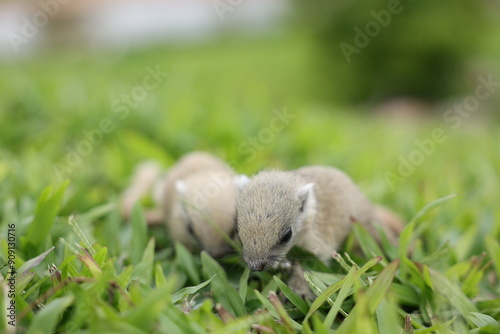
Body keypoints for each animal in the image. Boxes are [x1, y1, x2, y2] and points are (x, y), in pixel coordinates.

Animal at [236, 166, 404, 298]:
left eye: (287, 236)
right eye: (238, 231)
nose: (255, 267)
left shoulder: (318, 248)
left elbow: (307, 271)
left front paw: (300, 291)